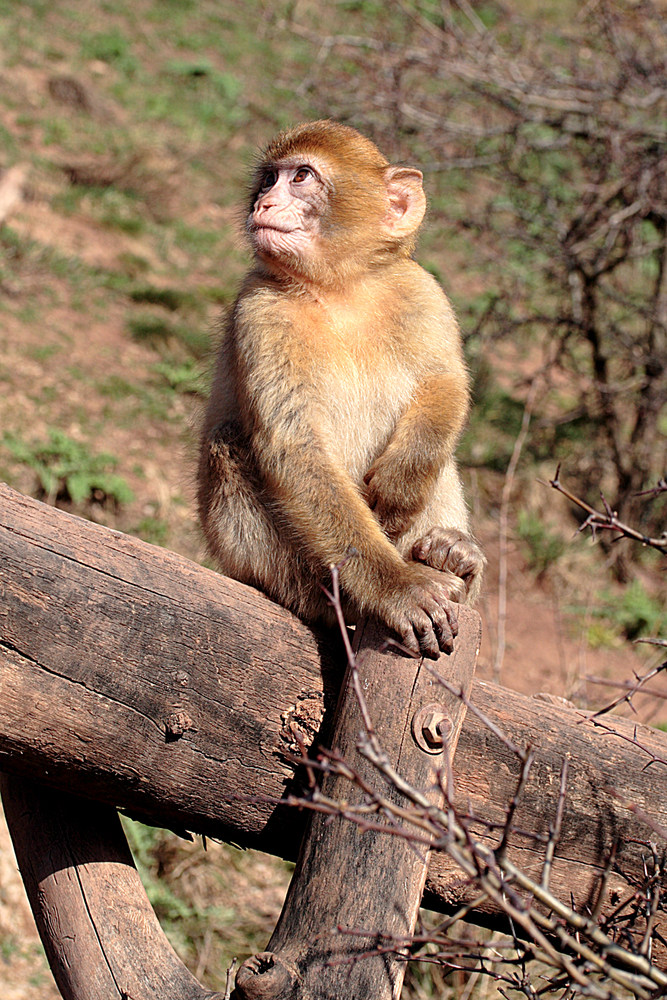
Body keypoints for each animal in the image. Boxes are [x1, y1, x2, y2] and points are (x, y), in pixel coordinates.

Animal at [198, 121, 486, 660]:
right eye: (268, 179)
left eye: (301, 176)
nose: (263, 203)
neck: (340, 288)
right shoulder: (259, 311)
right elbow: (298, 450)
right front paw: (396, 587)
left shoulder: (422, 289)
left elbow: (445, 382)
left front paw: (402, 482)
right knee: (228, 443)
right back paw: (343, 597)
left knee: (439, 459)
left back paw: (455, 556)